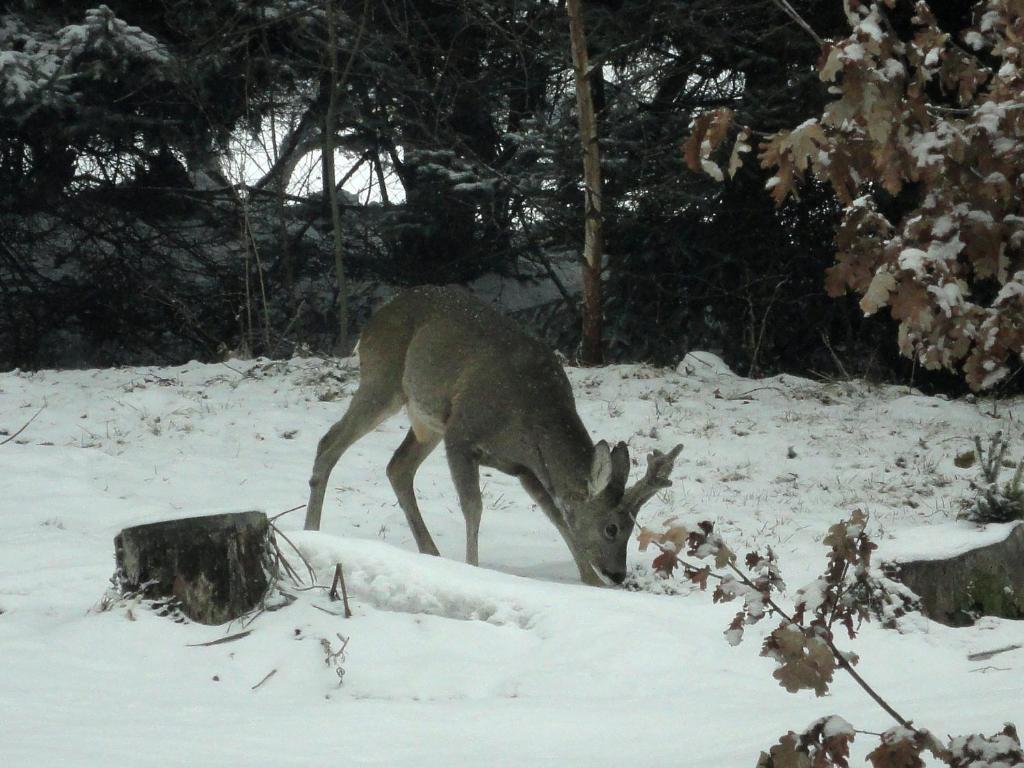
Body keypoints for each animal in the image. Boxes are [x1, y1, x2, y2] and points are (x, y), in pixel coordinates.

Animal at [307, 286, 684, 585]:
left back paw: (431, 552)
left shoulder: (527, 467)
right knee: (329, 441)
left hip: (427, 420)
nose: (617, 575)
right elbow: (473, 507)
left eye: (634, 527)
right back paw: (310, 529)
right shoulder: (461, 434)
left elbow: (557, 516)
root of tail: (372, 321)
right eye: (611, 528)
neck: (528, 417)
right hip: (383, 380)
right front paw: (473, 567)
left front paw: (589, 581)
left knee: (397, 467)